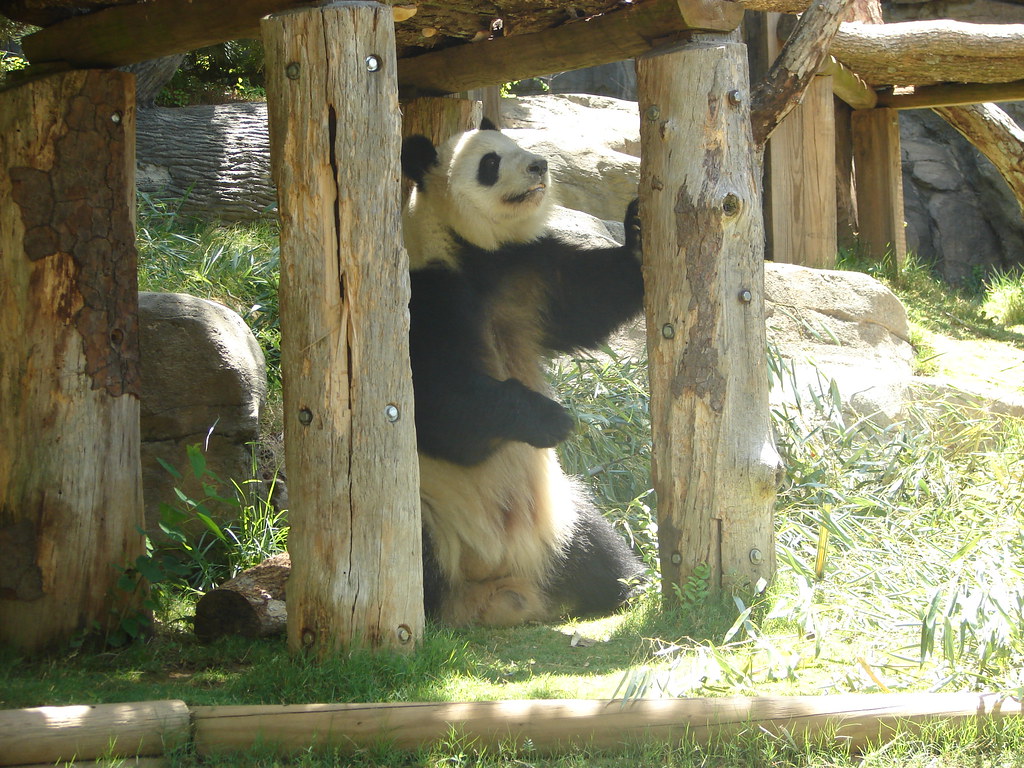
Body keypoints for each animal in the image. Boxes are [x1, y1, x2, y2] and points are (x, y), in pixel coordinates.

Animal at [402, 118, 646, 626]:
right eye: (490, 162)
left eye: (514, 143)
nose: (539, 164)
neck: (473, 255)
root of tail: (501, 590)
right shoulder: (426, 294)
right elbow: (439, 405)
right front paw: (551, 419)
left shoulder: (528, 273)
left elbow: (587, 300)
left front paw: (637, 232)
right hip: (431, 514)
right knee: (413, 558)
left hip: (560, 516)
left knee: (596, 544)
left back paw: (630, 588)